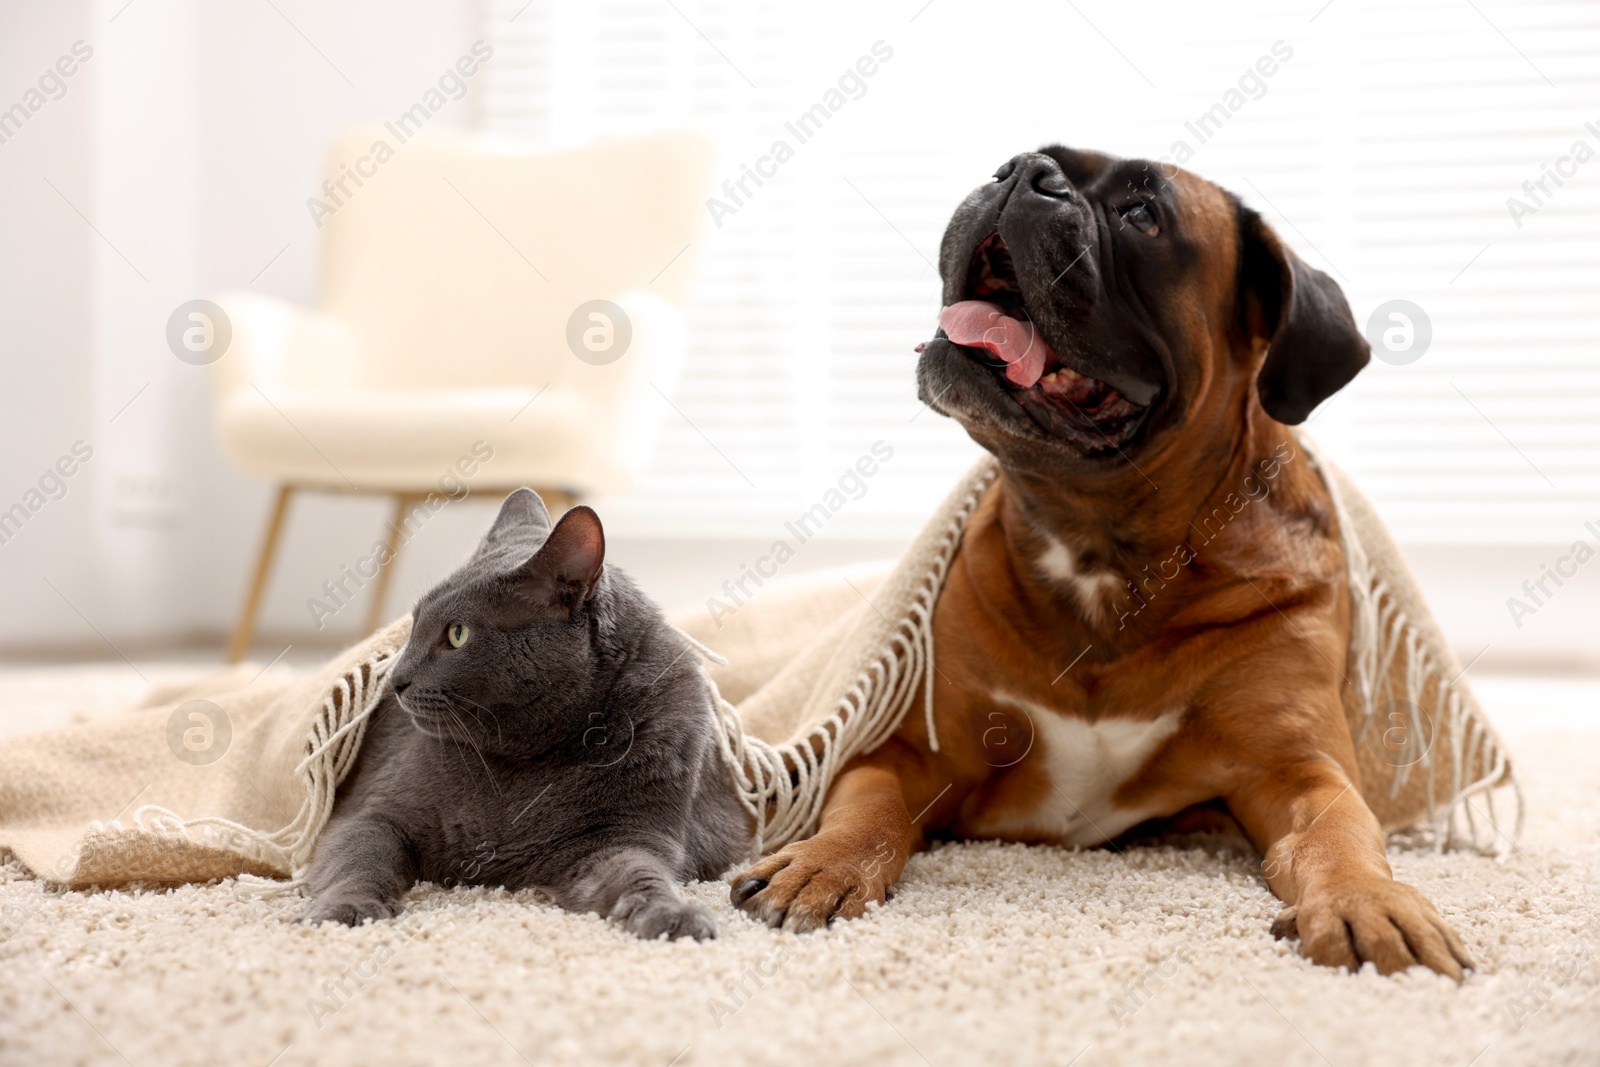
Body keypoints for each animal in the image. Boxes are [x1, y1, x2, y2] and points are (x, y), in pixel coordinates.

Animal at [300, 489, 748, 940]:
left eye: (457, 633)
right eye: (412, 625)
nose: (395, 678)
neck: (521, 762)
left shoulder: (627, 831)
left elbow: (639, 872)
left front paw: (673, 914)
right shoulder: (374, 813)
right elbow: (359, 861)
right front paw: (345, 908)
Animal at [726, 146, 1472, 979]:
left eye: (1143, 214)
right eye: (1020, 159)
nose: (1022, 171)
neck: (1101, 544)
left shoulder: (1301, 769)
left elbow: (1339, 834)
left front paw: (1367, 900)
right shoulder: (909, 749)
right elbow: (870, 806)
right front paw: (822, 862)